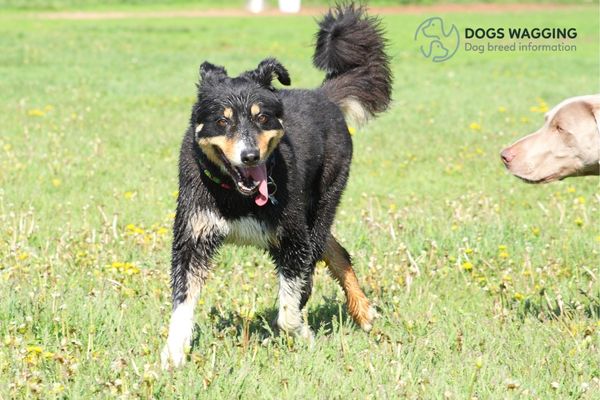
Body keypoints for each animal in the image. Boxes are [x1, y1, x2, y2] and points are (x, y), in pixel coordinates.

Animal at [162, 3, 392, 368]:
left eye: (262, 117)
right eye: (223, 120)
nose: (250, 156)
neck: (236, 197)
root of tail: (322, 96)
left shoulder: (292, 238)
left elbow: (289, 306)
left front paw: (301, 333)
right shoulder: (193, 237)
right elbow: (182, 304)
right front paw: (172, 354)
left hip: (321, 202)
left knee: (323, 252)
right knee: (335, 251)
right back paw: (363, 310)